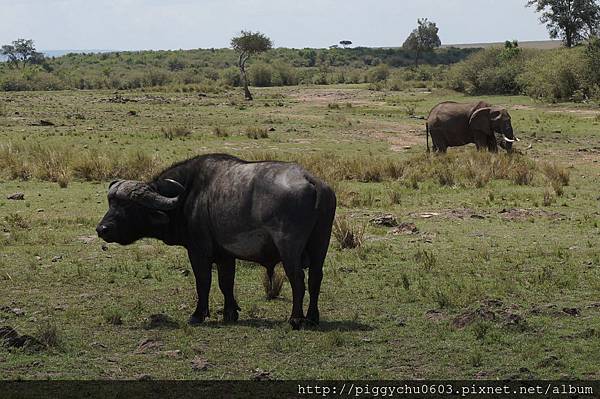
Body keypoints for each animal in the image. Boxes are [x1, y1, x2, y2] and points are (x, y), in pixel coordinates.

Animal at [96, 155, 336, 330]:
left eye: (128, 206)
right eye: (111, 203)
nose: (101, 229)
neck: (188, 195)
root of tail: (312, 182)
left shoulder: (198, 252)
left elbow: (203, 282)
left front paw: (197, 315)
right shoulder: (225, 255)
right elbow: (226, 283)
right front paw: (230, 313)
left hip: (289, 248)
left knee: (297, 279)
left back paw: (296, 319)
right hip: (320, 245)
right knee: (316, 278)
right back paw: (312, 318)